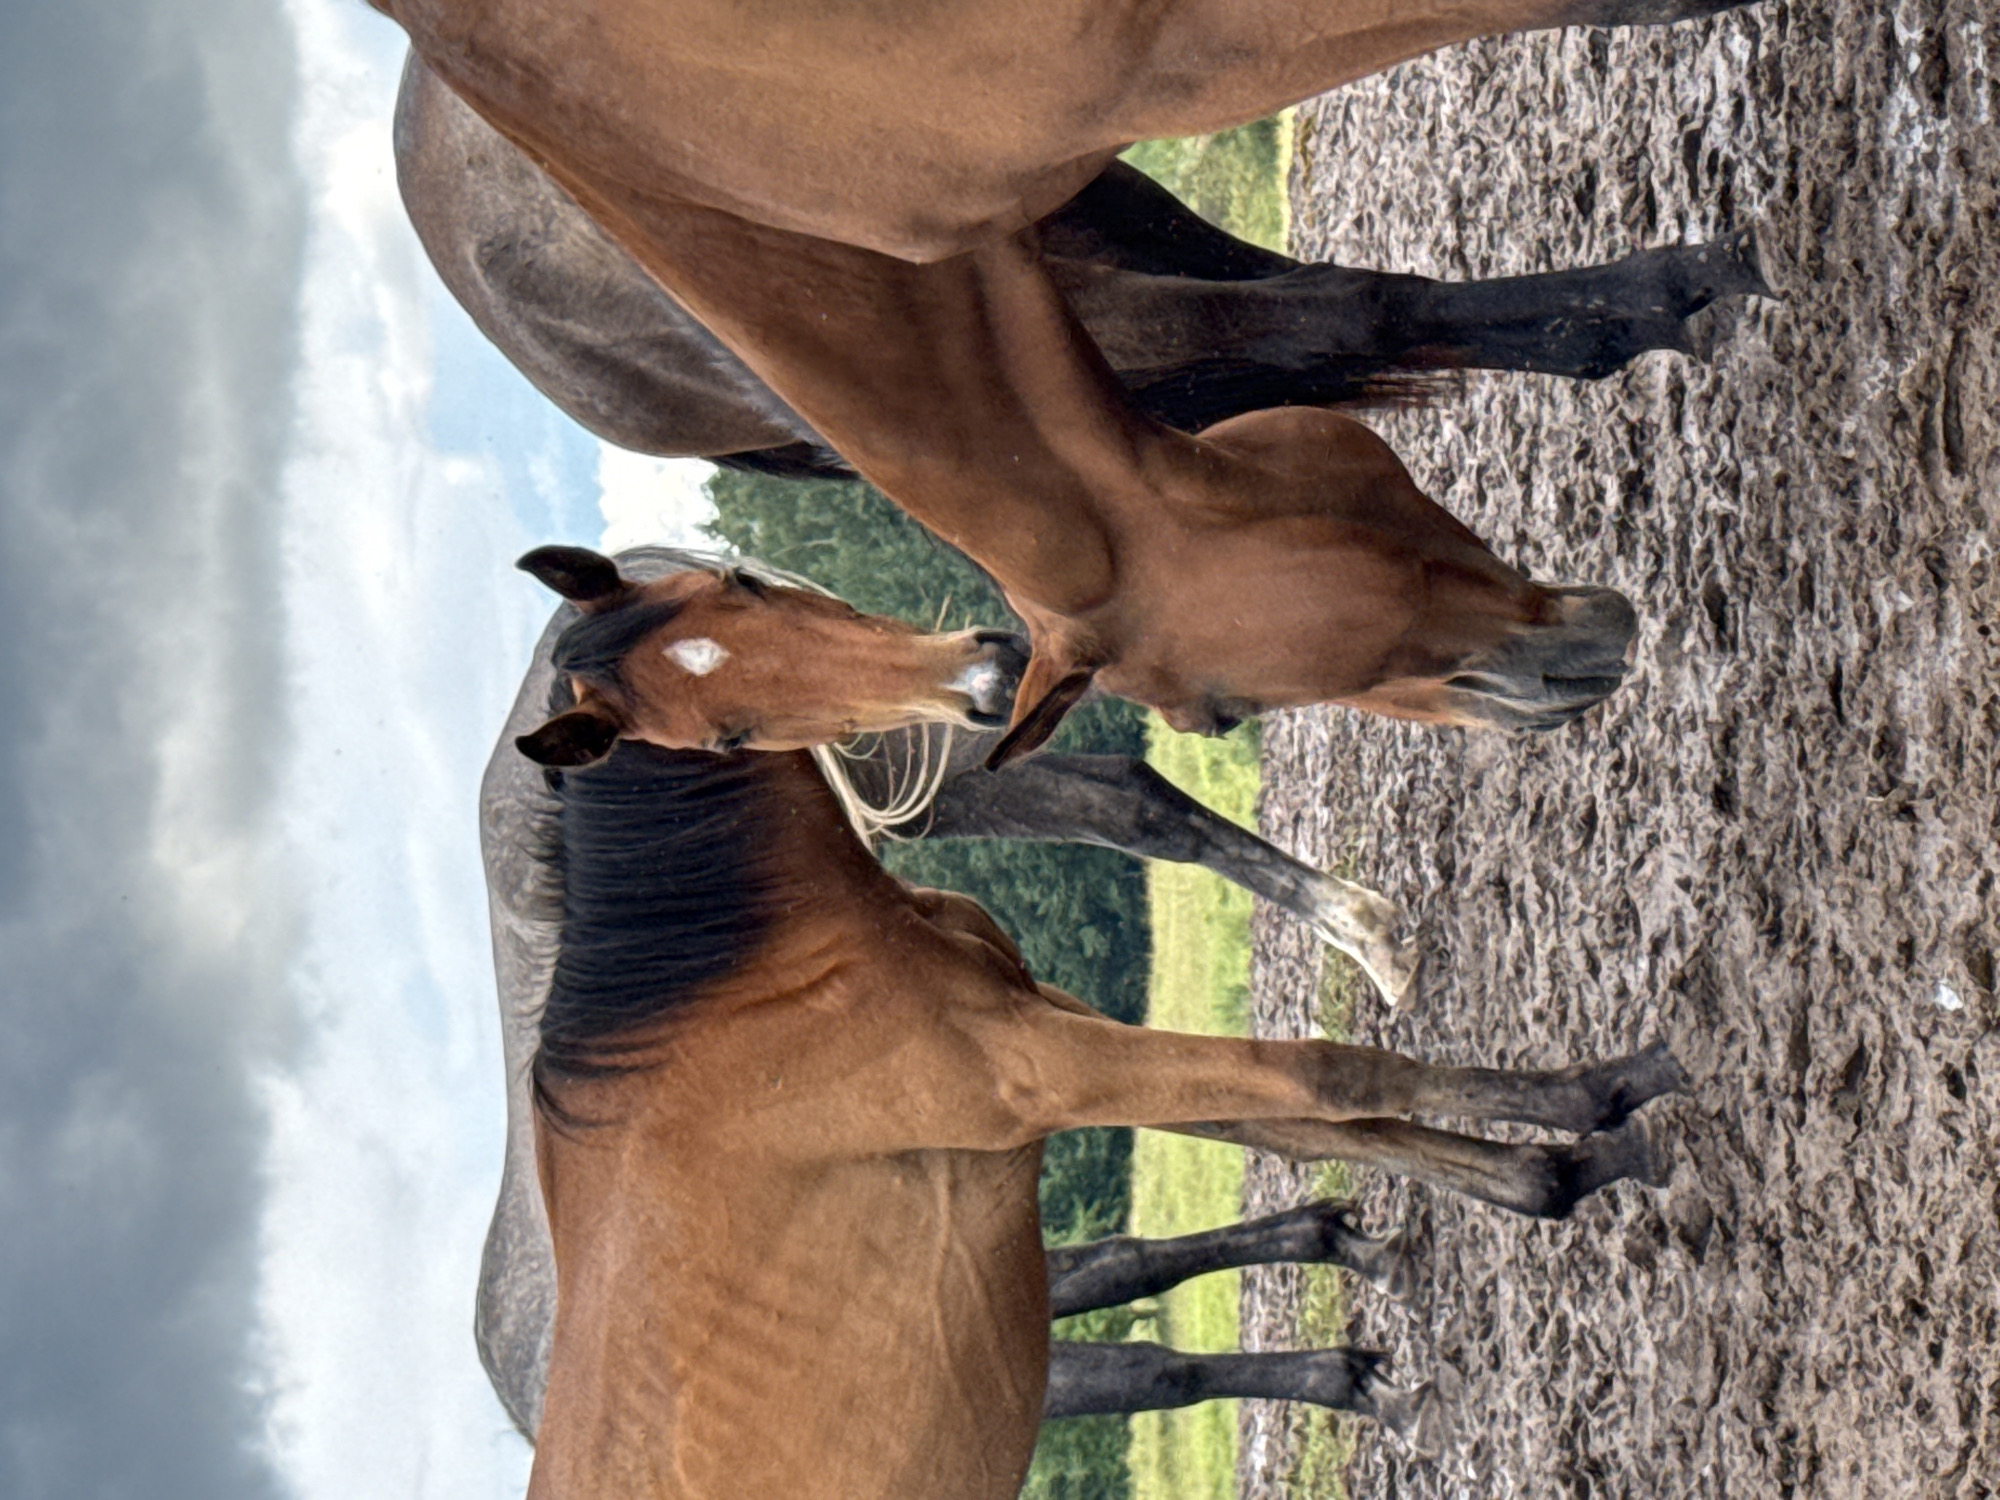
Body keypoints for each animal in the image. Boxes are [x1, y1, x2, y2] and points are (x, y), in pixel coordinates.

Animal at [481, 547, 1689, 1497]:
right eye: (727, 733)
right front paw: (1603, 1098)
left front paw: (1538, 1179)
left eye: (736, 583)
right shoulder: (1049, 1068)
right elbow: (1334, 1079)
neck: (740, 990)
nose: (980, 676)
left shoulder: (1054, 1040)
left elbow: (1309, 1124)